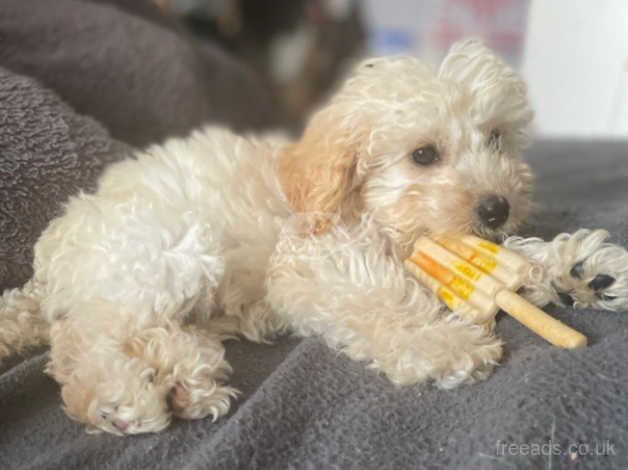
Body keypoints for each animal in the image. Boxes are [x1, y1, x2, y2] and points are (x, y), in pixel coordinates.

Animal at [1, 38, 628, 436]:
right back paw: (117, 396)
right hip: (159, 249)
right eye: (424, 155)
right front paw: (440, 343)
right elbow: (377, 298)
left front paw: (577, 268)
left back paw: (184, 381)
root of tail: (49, 265)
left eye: (496, 138)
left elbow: (510, 260)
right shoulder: (314, 260)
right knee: (84, 337)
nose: (497, 207)